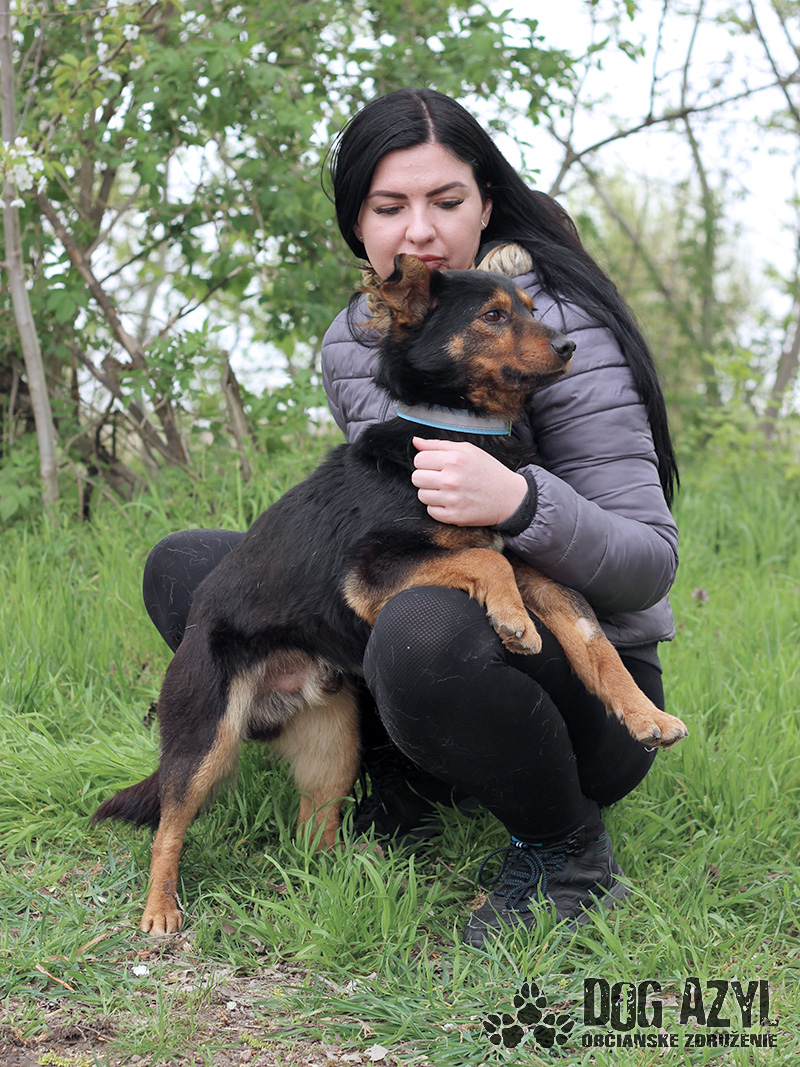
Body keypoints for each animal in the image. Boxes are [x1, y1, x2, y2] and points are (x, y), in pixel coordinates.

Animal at [93, 254, 688, 935]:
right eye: (493, 316)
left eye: (533, 311)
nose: (569, 347)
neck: (465, 431)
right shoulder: (372, 574)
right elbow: (484, 557)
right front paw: (512, 621)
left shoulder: (538, 570)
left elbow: (594, 644)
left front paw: (646, 716)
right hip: (206, 739)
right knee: (169, 823)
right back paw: (161, 909)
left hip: (334, 748)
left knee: (311, 833)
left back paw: (349, 874)